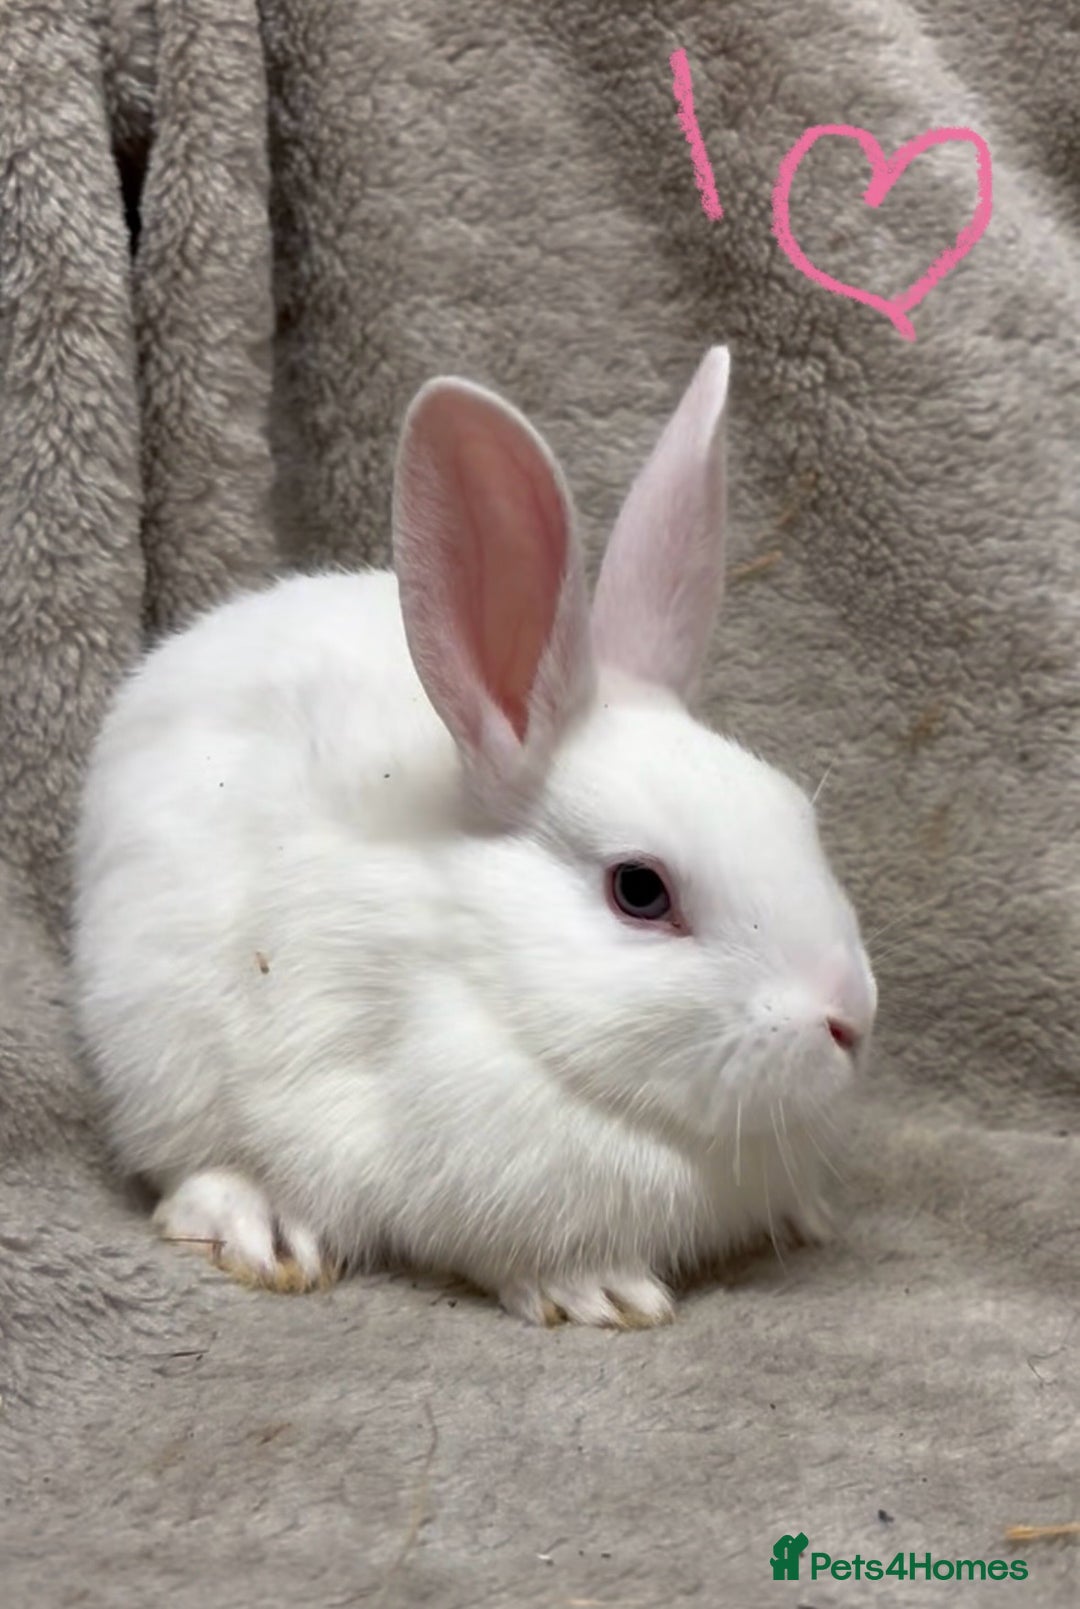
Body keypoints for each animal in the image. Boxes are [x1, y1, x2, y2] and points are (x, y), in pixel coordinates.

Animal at [71, 346, 877, 1328]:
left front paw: (810, 1215)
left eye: (797, 814)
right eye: (640, 890)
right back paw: (258, 1225)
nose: (850, 1019)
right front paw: (601, 1290)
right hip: (157, 1042)